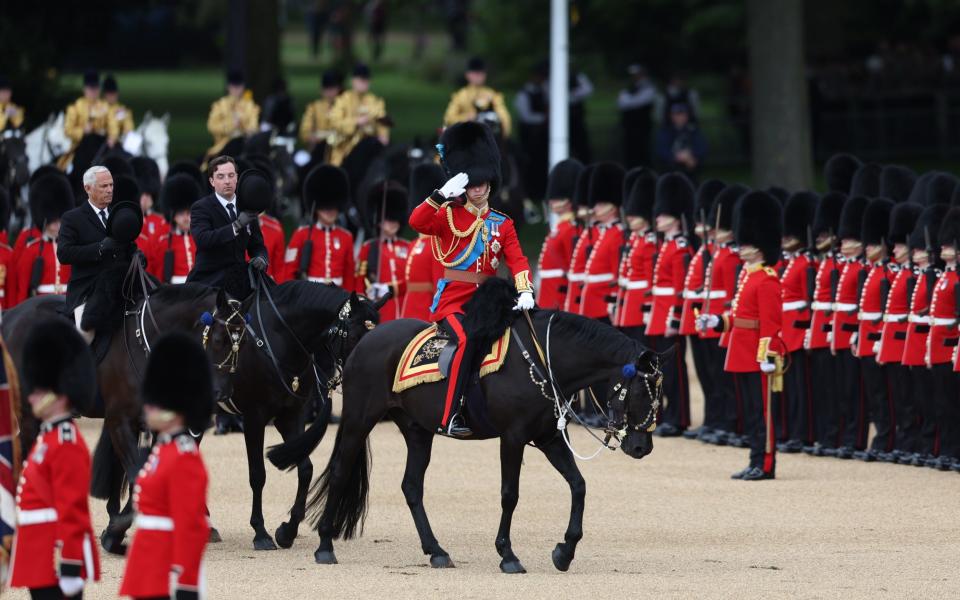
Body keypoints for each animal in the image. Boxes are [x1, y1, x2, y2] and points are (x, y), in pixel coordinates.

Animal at [200, 276, 386, 548]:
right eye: (353, 336)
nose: (371, 375)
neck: (279, 342)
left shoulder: (292, 416)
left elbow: (305, 468)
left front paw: (288, 530)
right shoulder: (254, 417)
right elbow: (258, 474)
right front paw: (261, 532)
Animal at [266, 284, 664, 576]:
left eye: (659, 394)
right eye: (641, 392)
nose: (642, 447)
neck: (543, 360)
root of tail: (366, 342)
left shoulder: (548, 437)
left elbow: (578, 485)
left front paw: (564, 551)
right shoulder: (513, 437)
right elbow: (510, 494)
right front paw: (508, 554)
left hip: (417, 430)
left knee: (411, 486)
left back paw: (436, 551)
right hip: (360, 418)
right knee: (340, 470)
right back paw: (324, 546)